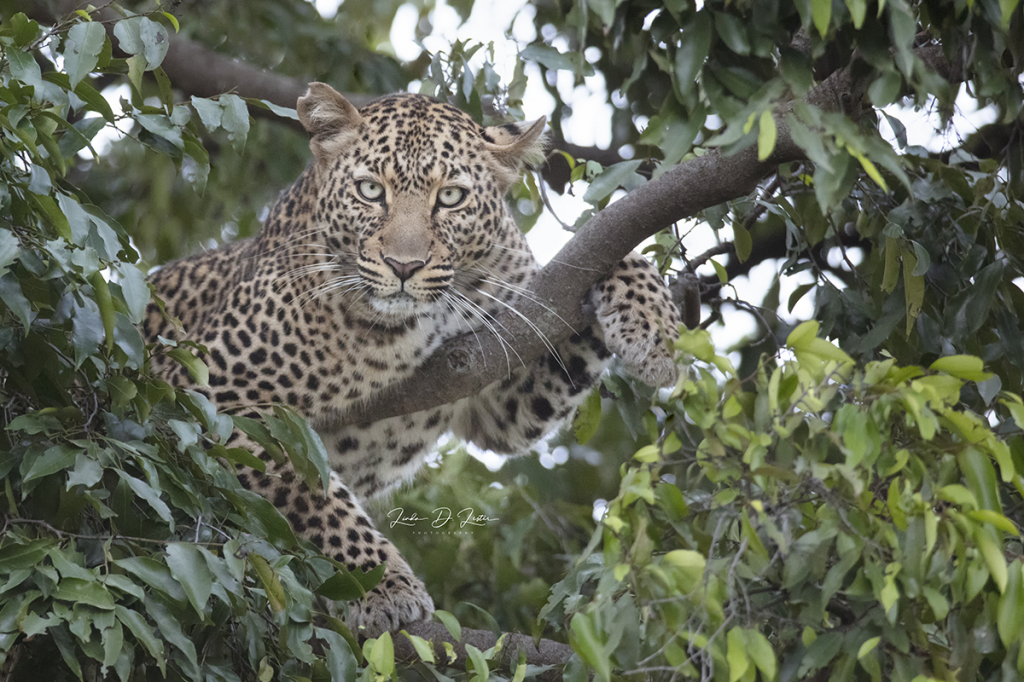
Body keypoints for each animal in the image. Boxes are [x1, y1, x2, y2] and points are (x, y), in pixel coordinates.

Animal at [142, 82, 679, 634]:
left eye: (451, 198)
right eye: (370, 191)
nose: (404, 266)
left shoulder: (500, 396)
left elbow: (617, 251)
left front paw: (655, 331)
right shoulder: (208, 390)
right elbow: (308, 488)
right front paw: (382, 585)